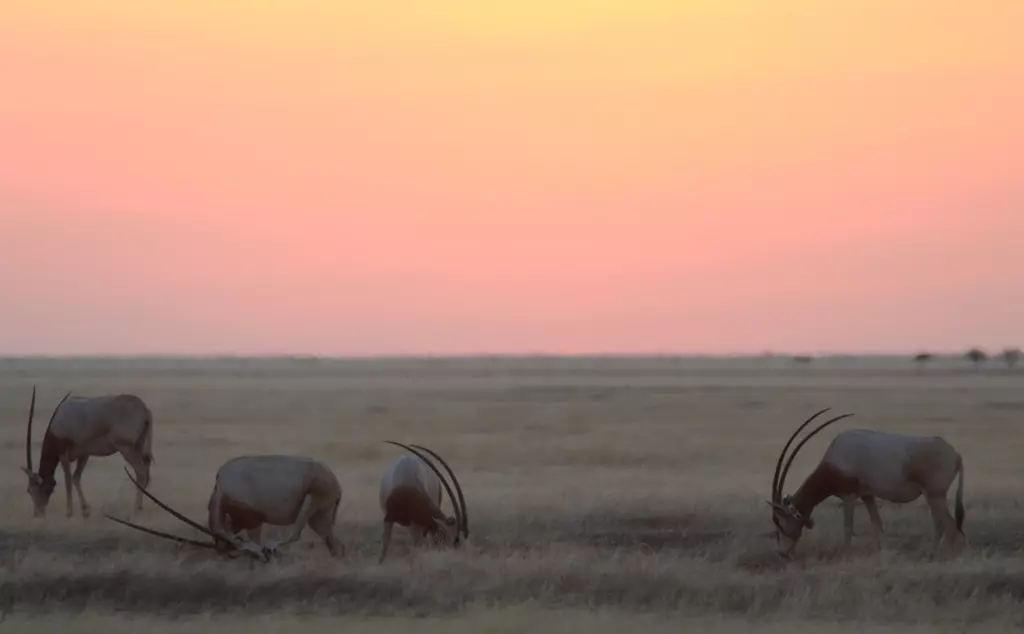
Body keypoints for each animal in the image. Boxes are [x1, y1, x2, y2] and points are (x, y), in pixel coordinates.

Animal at [20, 386, 154, 518]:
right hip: (138, 445)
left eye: (32, 489)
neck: (59, 420)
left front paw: (69, 512)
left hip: (125, 448)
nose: (37, 514)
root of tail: (145, 410)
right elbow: (76, 478)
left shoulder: (63, 455)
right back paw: (140, 506)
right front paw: (85, 510)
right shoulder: (84, 455)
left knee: (141, 472)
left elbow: (68, 479)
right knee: (143, 471)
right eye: (28, 490)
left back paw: (135, 508)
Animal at [106, 454, 345, 561]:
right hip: (319, 516)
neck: (222, 488)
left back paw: (272, 548)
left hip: (312, 502)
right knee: (333, 542)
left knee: (296, 534)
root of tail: (333, 480)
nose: (260, 559)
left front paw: (263, 552)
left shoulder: (253, 520)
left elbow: (255, 540)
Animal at [769, 408, 967, 559]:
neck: (837, 457)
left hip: (935, 495)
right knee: (940, 525)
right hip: (932, 497)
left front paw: (845, 555)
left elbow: (848, 527)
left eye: (779, 522)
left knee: (950, 526)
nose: (781, 554)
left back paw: (945, 555)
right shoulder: (867, 495)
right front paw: (884, 551)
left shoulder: (848, 495)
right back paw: (931, 553)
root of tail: (956, 455)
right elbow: (877, 524)